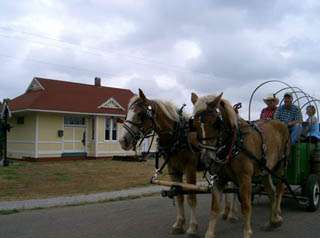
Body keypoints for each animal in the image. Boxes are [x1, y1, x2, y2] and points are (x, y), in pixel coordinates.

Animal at [120, 89, 200, 236]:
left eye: (140, 114)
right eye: (127, 114)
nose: (123, 141)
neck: (178, 136)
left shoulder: (190, 168)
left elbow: (191, 197)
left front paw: (192, 227)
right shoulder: (173, 169)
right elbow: (179, 196)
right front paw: (179, 224)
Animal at [191, 93, 292, 238]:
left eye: (215, 123)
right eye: (194, 124)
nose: (206, 160)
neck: (233, 144)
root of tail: (280, 123)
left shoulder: (245, 179)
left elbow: (246, 206)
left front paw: (247, 232)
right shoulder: (219, 178)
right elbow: (214, 207)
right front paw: (209, 233)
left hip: (280, 166)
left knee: (279, 189)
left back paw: (277, 215)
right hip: (265, 170)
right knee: (271, 192)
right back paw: (272, 221)